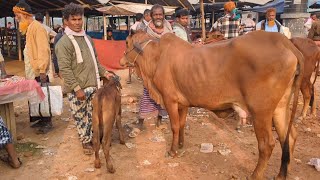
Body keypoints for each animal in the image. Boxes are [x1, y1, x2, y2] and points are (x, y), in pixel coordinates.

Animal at [119, 30, 304, 179]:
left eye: (126, 43)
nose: (121, 61)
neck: (156, 57)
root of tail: (284, 41)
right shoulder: (183, 103)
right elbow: (182, 124)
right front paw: (181, 145)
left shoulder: (170, 99)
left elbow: (175, 126)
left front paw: (173, 151)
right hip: (280, 107)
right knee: (289, 136)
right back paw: (282, 173)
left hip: (260, 111)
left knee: (267, 144)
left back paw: (255, 175)